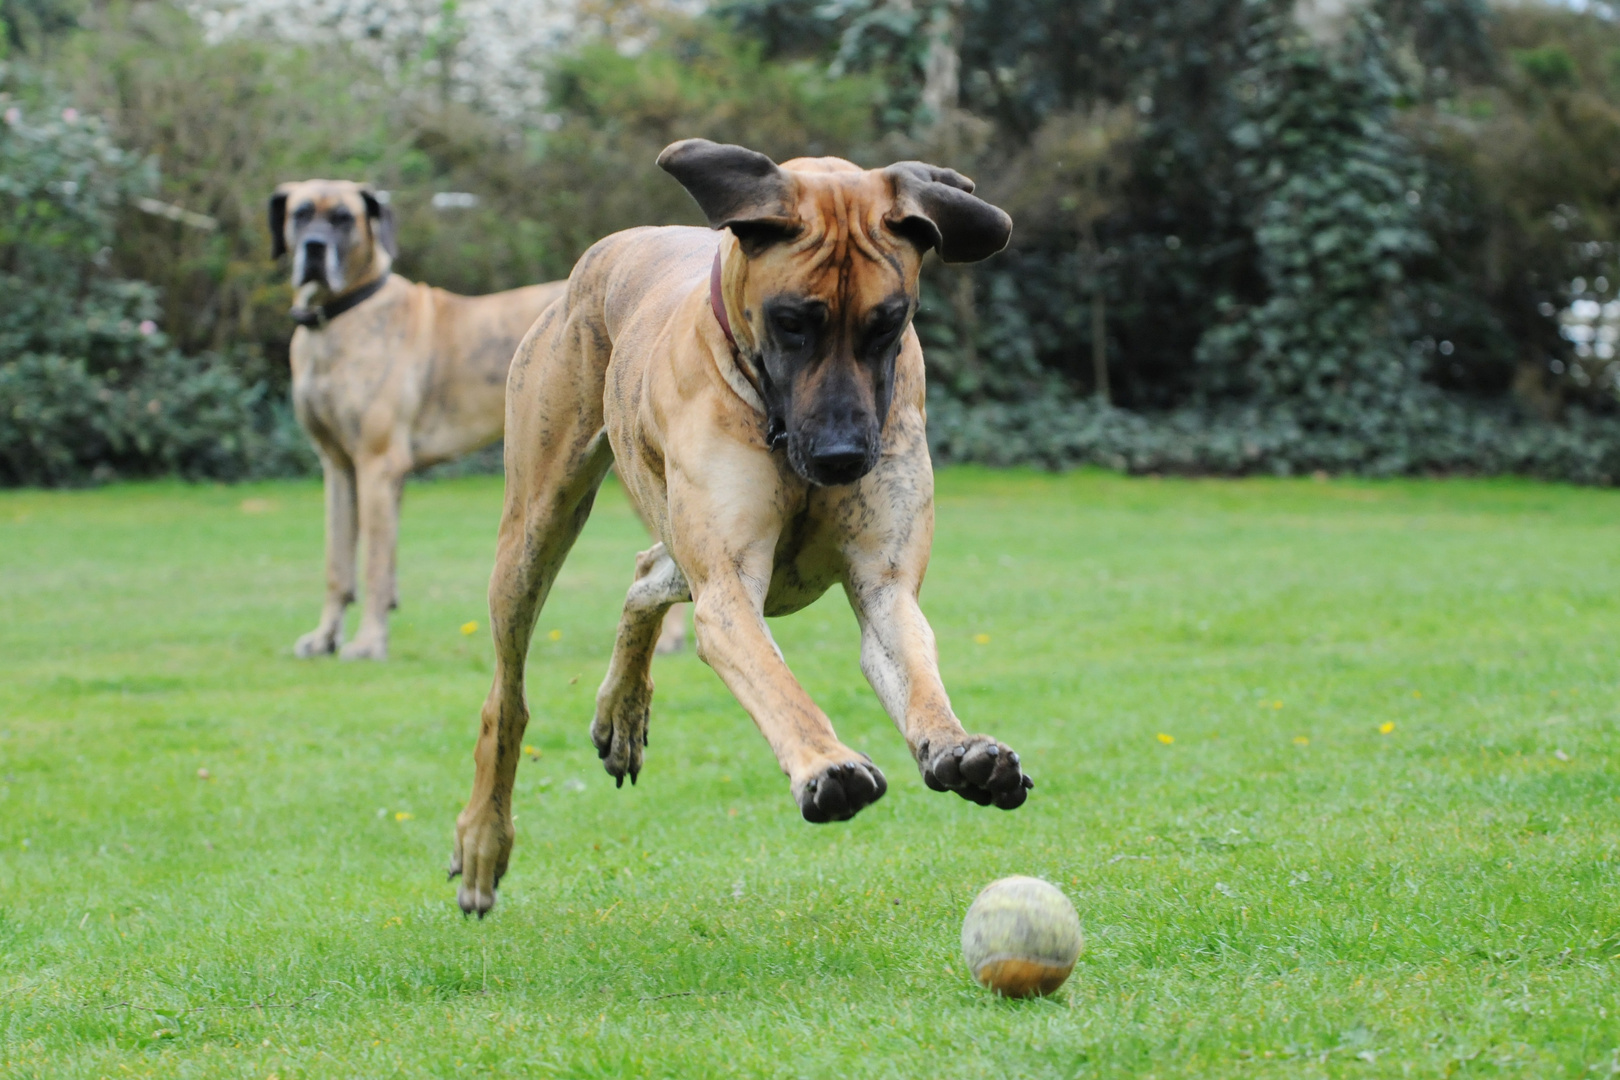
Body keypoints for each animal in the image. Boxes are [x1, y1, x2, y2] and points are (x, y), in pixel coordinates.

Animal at [268, 181, 567, 663]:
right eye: (300, 213)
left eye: (344, 218)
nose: (314, 248)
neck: (338, 319)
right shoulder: (338, 467)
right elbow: (339, 563)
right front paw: (326, 637)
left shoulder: (377, 464)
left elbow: (374, 563)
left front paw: (368, 641)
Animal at [450, 139, 1030, 919]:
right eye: (793, 322)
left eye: (888, 323)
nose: (844, 456)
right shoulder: (729, 587)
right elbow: (779, 687)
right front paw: (828, 764)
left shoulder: (884, 585)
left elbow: (911, 664)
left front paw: (955, 746)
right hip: (535, 528)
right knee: (506, 700)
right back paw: (484, 840)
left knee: (646, 575)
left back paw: (623, 710)